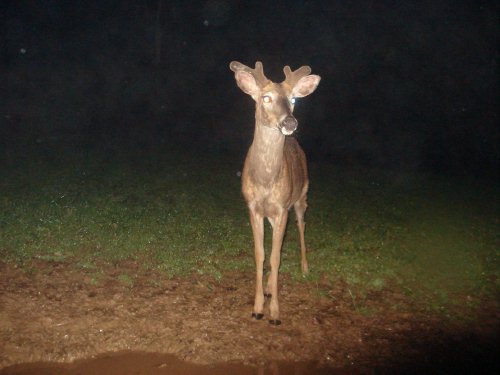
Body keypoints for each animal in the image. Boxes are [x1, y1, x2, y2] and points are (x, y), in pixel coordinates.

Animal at [229, 61, 320, 326]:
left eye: (293, 99)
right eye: (265, 97)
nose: (290, 123)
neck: (266, 181)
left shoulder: (282, 209)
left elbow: (276, 257)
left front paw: (275, 313)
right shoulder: (253, 207)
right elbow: (261, 255)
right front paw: (258, 307)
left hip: (301, 197)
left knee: (302, 225)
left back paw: (304, 268)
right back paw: (269, 287)